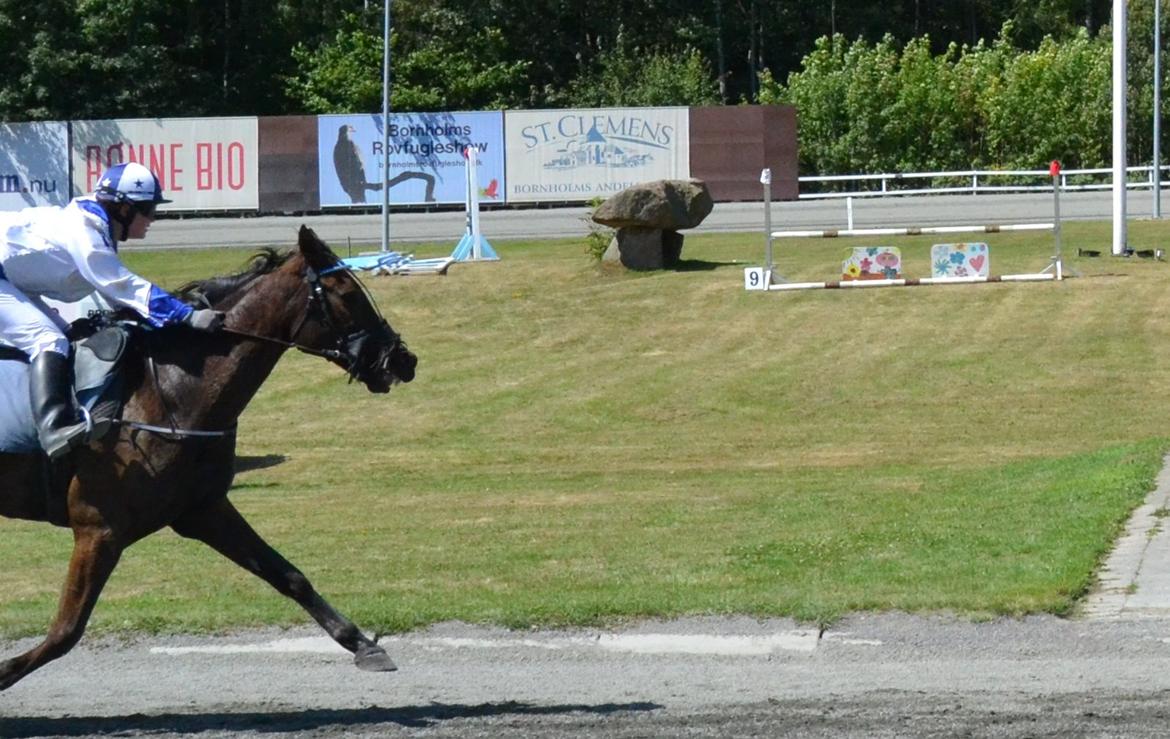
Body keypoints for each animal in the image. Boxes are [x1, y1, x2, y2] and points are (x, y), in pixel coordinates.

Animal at [0, 226, 418, 692]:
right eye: (346, 292)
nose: (403, 359)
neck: (170, 393)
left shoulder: (203, 509)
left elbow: (290, 576)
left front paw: (363, 644)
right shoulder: (98, 529)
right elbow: (65, 631)